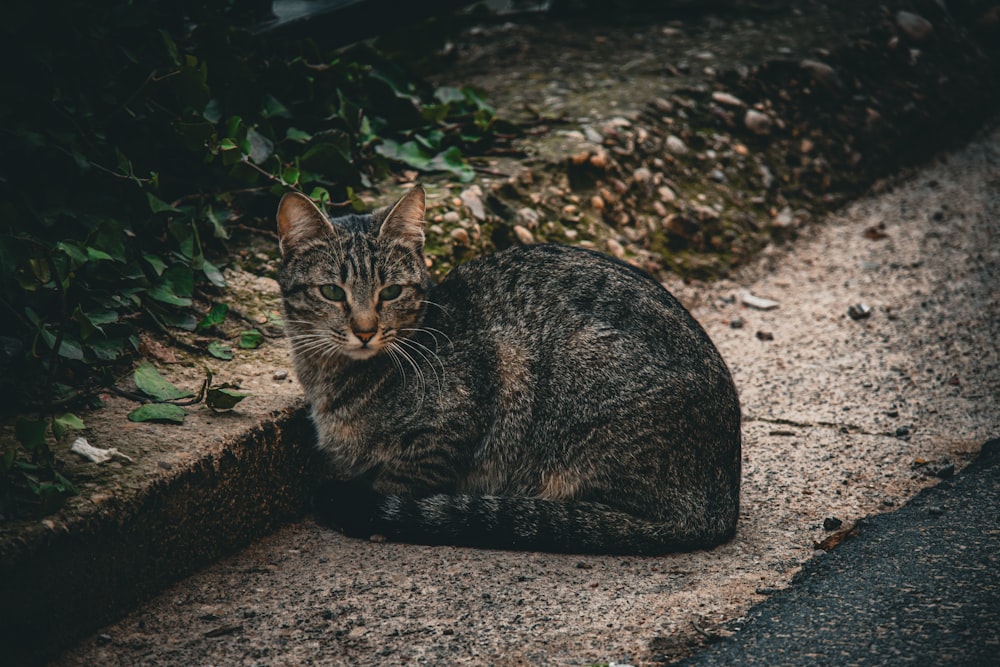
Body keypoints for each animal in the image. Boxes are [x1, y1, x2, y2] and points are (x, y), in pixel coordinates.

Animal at [278, 185, 740, 556]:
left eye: (390, 292)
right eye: (331, 291)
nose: (365, 330)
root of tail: (721, 506)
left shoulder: (459, 415)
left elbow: (402, 481)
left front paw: (380, 510)